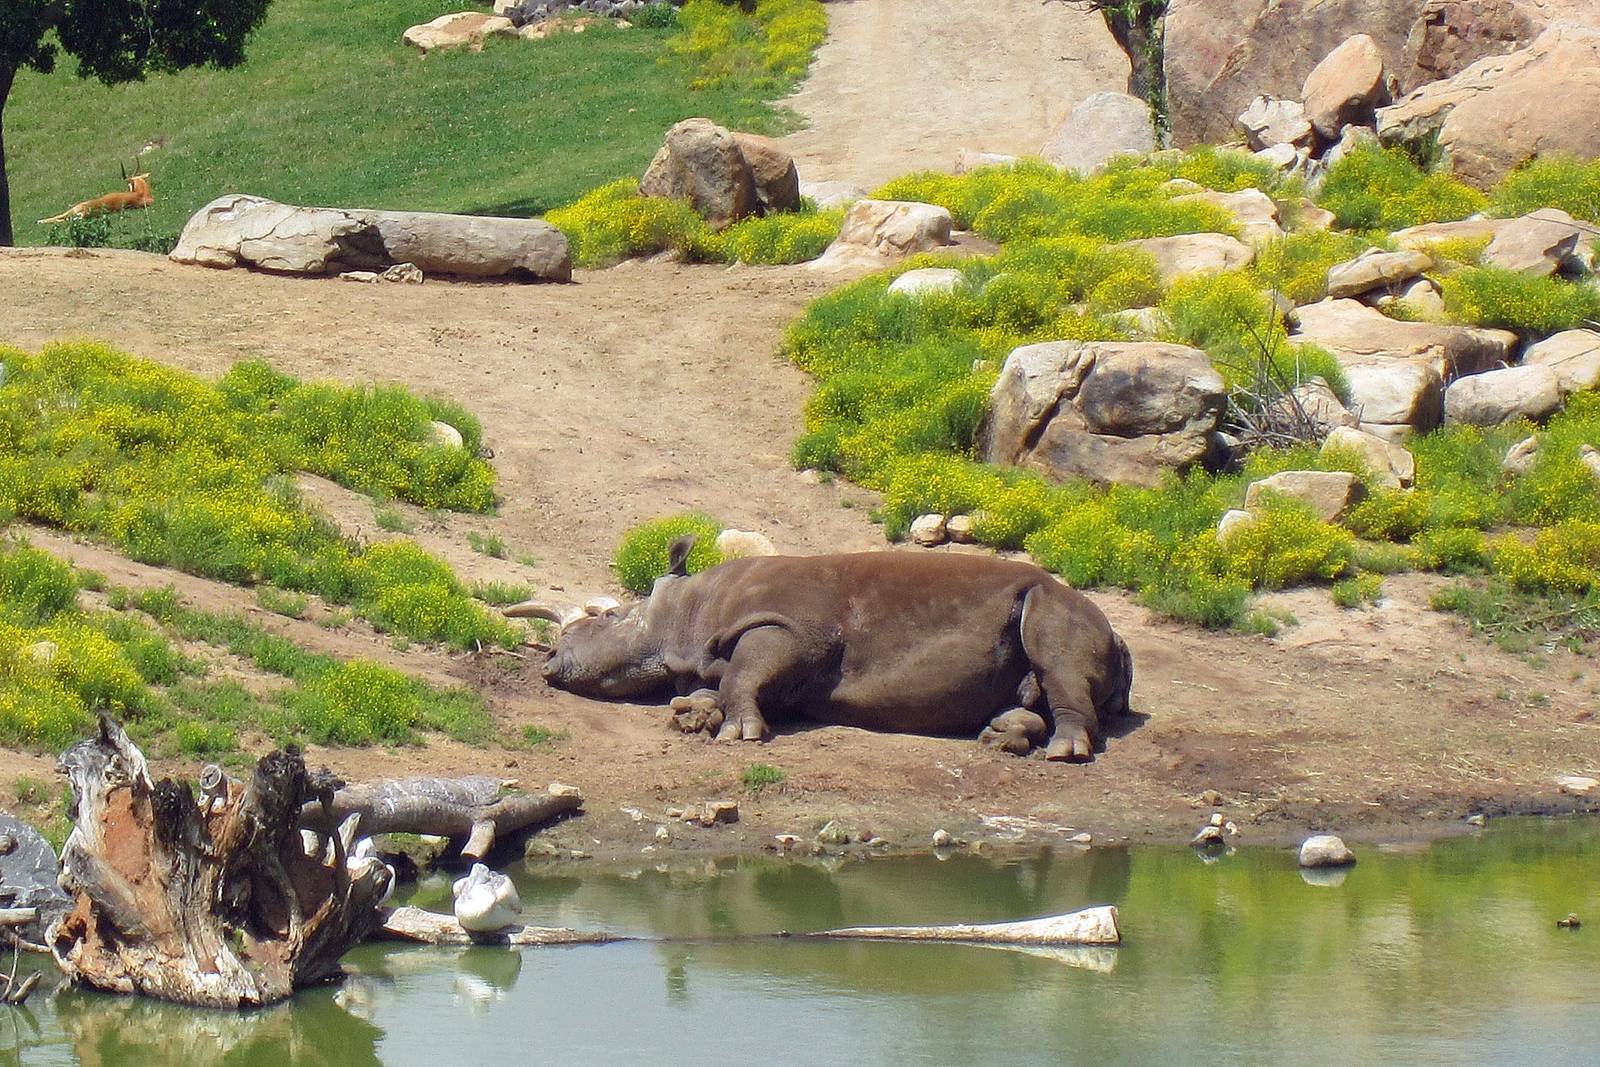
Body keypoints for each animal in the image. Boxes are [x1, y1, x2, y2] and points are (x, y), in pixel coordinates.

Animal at [508, 539, 1133, 762]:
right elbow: (722, 683)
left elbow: (744, 673)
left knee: (1053, 650)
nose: (550, 661)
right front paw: (693, 718)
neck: (685, 609)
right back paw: (1001, 736)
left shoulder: (792, 628)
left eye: (607, 618)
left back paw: (1062, 753)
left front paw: (737, 735)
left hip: (1059, 604)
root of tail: (1121, 634)